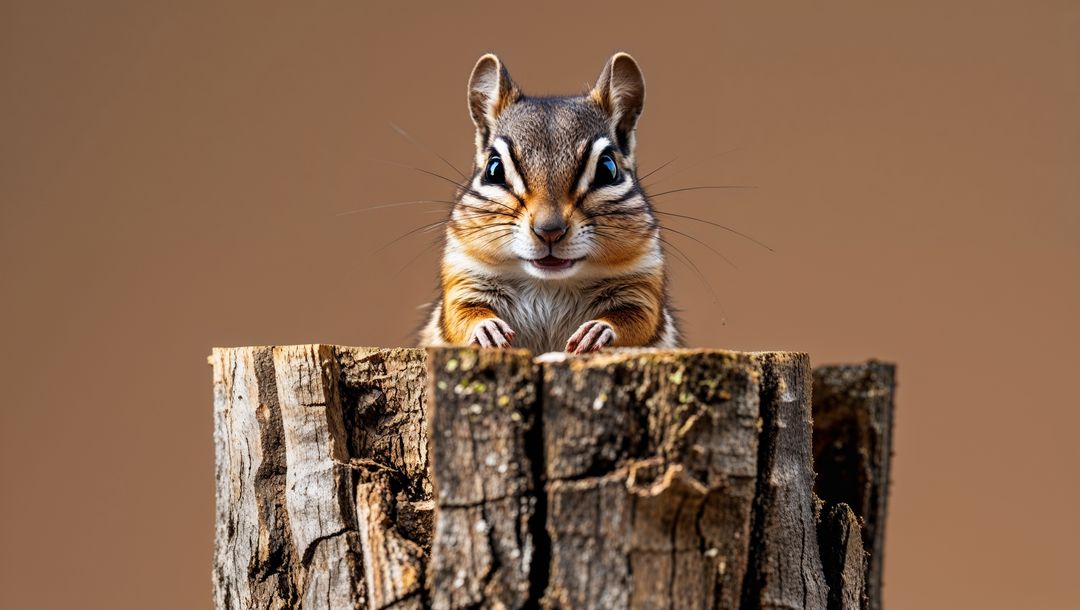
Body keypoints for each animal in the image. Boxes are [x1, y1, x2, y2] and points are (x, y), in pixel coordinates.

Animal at [418, 53, 679, 354]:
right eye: (494, 169)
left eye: (607, 169)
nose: (550, 230)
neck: (548, 284)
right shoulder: (464, 274)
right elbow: (460, 313)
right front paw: (486, 329)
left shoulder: (642, 282)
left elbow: (638, 318)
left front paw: (599, 331)